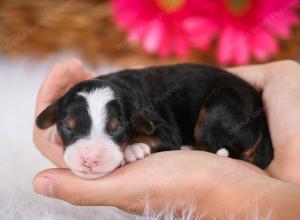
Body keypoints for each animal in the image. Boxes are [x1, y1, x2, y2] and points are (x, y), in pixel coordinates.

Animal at [35, 63, 274, 179]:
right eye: (66, 127)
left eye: (117, 128)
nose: (90, 160)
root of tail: (262, 118)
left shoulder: (164, 127)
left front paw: (134, 148)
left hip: (221, 103)